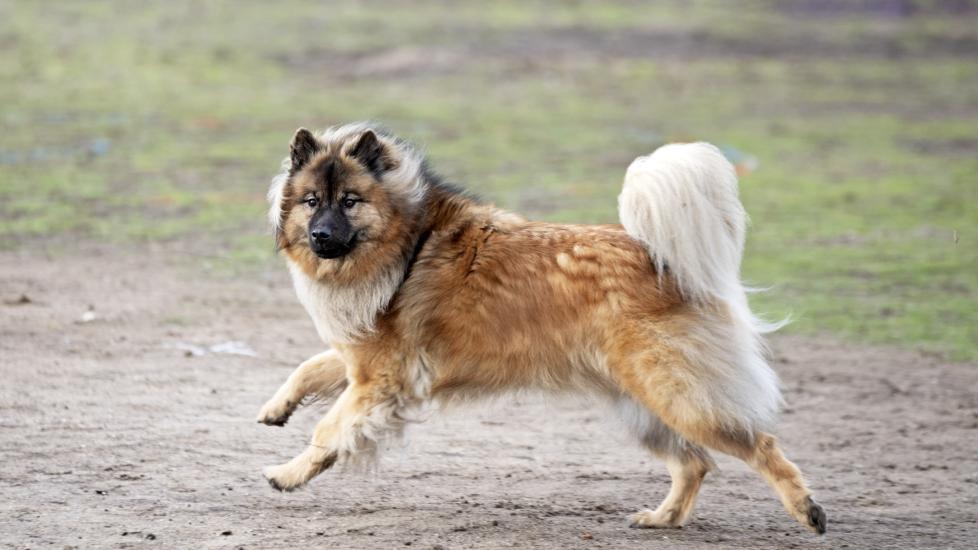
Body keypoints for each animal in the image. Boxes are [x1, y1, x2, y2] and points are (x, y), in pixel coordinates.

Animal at [258, 124, 824, 536]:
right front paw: (275, 409)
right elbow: (308, 369)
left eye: (350, 200)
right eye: (311, 201)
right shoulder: (365, 362)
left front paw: (287, 475)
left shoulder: (380, 381)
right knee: (694, 464)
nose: (320, 236)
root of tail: (663, 257)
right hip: (642, 408)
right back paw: (663, 518)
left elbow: (328, 431)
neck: (406, 239)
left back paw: (807, 510)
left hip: (679, 398)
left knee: (759, 445)